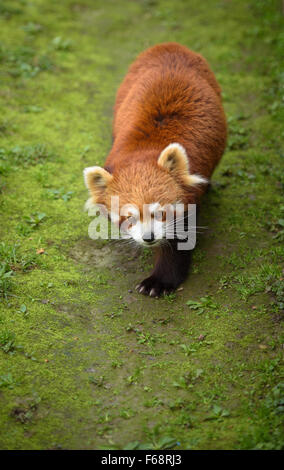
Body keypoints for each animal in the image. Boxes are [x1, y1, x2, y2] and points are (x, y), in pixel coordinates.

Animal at [84, 42, 226, 296]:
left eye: (160, 213)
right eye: (128, 217)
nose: (148, 237)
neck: (144, 151)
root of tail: (170, 46)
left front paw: (160, 281)